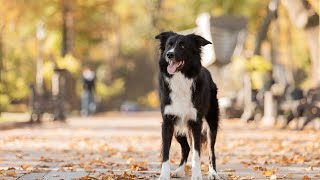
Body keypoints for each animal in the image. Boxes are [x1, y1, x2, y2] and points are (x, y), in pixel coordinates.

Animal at [156, 31, 220, 179]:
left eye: (183, 46)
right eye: (169, 45)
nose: (169, 54)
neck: (181, 78)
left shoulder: (196, 122)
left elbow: (197, 154)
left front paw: (197, 176)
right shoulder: (168, 122)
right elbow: (166, 153)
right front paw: (164, 175)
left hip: (211, 124)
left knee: (210, 150)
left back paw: (213, 173)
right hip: (179, 129)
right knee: (186, 148)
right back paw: (179, 170)